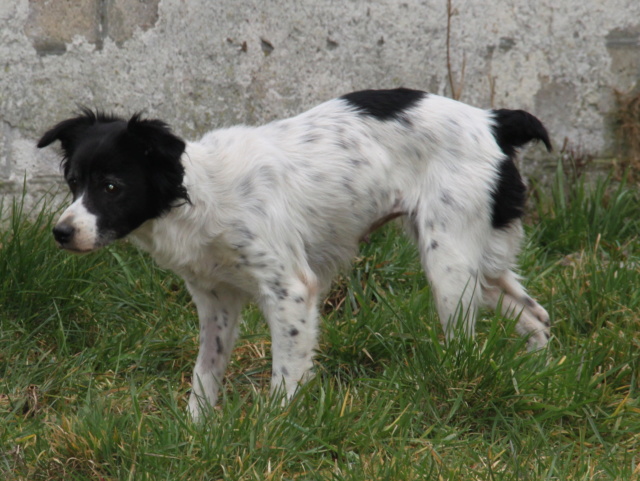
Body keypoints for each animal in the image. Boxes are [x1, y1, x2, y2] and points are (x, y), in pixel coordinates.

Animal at [38, 88, 552, 418]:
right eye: (74, 182)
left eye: (112, 186)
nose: (60, 232)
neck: (203, 198)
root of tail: (492, 120)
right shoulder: (215, 300)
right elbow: (205, 375)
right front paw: (195, 432)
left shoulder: (290, 291)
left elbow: (285, 375)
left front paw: (274, 431)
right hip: (476, 262)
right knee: (535, 313)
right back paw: (539, 372)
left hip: (448, 263)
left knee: (467, 341)